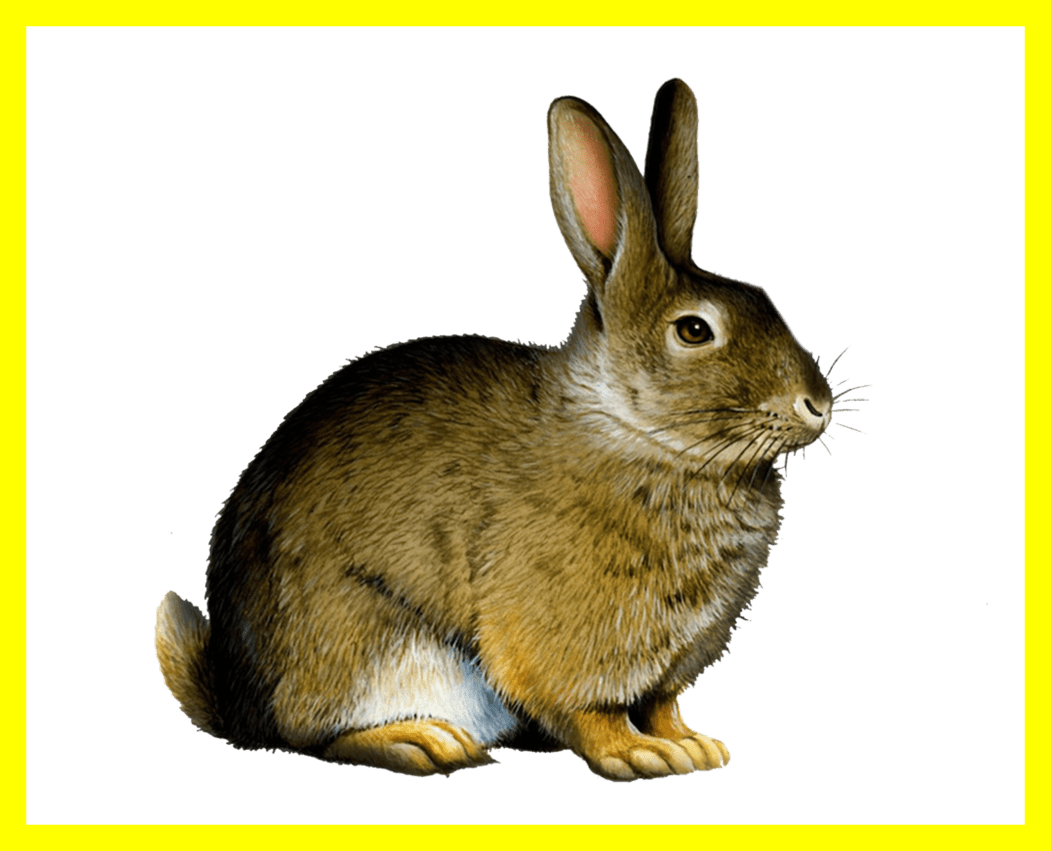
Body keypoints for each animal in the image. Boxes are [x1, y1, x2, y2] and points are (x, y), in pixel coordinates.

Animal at [156, 77, 842, 782]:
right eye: (695, 330)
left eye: (764, 298)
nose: (817, 405)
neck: (637, 433)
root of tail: (237, 701)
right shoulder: (560, 639)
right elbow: (590, 713)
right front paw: (641, 755)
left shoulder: (670, 665)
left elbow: (662, 704)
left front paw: (695, 746)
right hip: (372, 647)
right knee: (316, 732)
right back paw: (425, 743)